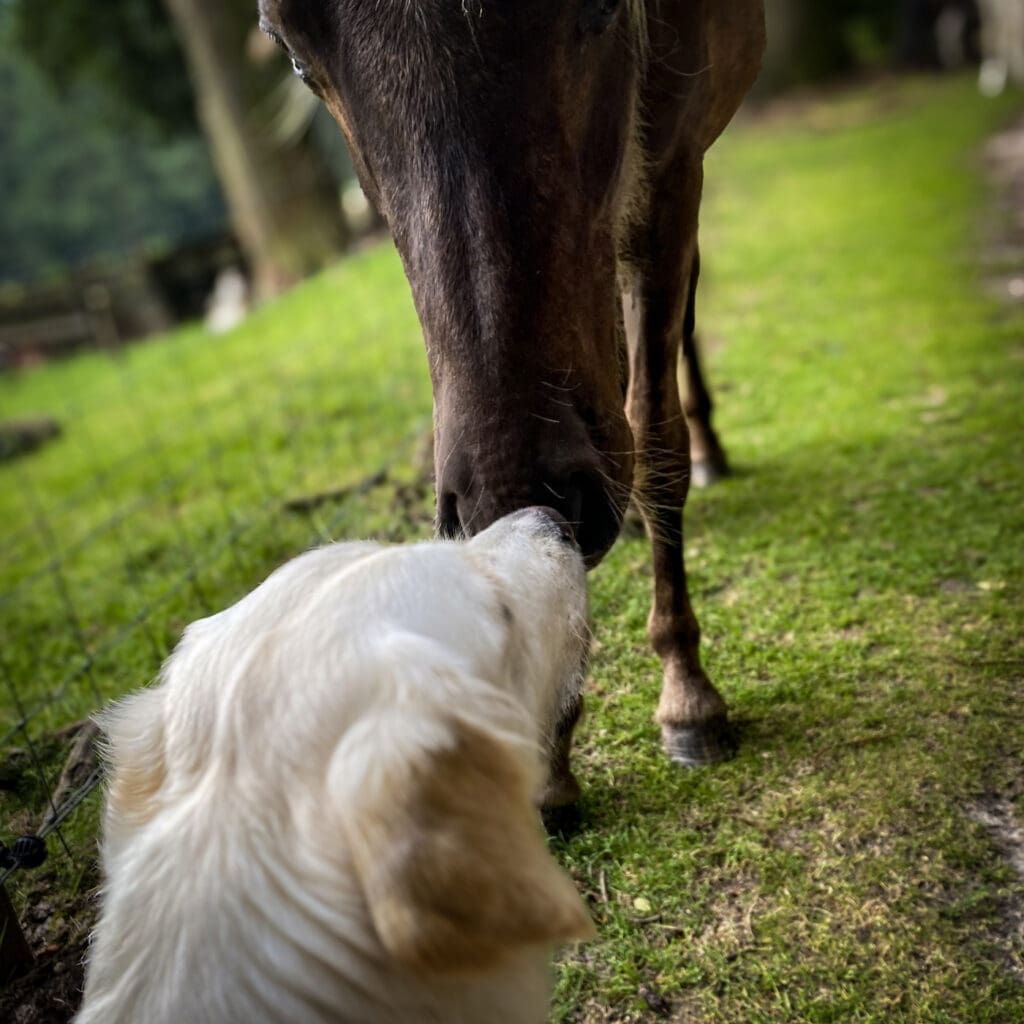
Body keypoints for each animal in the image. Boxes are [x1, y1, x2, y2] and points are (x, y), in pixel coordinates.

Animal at [256, 0, 766, 795]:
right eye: (293, 51)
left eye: (602, 5)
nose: (519, 497)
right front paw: (548, 750)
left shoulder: (672, 174)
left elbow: (656, 434)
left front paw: (687, 694)